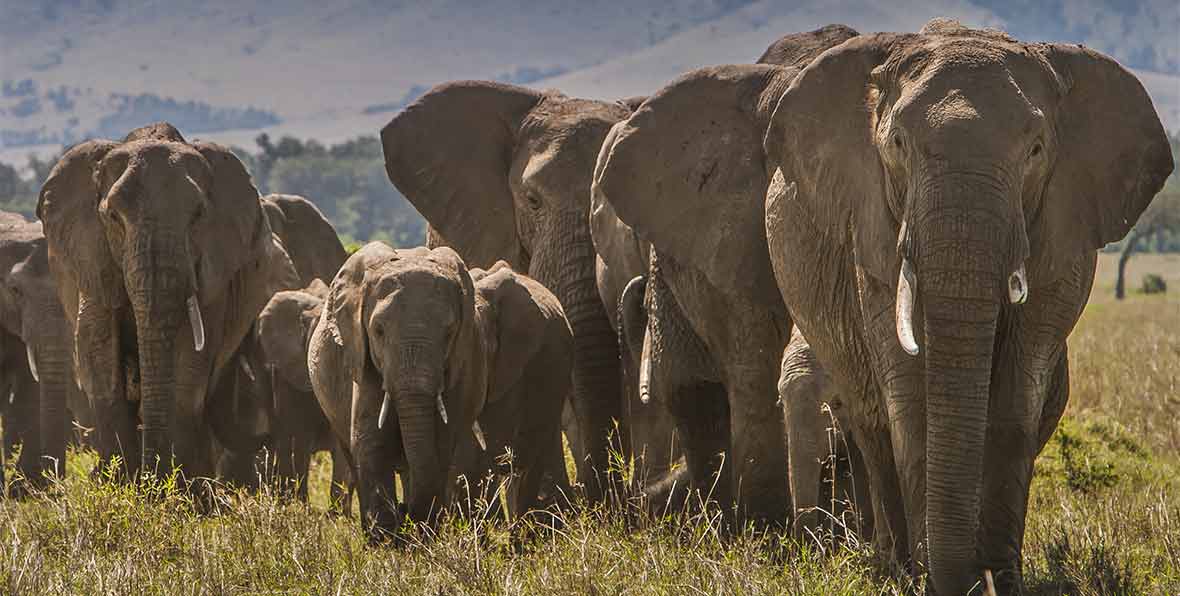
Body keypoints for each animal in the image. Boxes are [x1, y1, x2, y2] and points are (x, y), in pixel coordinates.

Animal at [37, 122, 299, 480]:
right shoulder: (91, 255)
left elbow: (192, 358)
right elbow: (97, 350)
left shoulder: (212, 269)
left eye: (199, 215)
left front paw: (169, 488)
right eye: (113, 216)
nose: (150, 475)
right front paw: (120, 484)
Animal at [307, 244, 572, 539]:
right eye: (378, 331)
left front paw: (419, 534)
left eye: (449, 333)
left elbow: (447, 443)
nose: (404, 511)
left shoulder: (468, 368)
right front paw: (387, 540)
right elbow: (371, 441)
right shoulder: (361, 357)